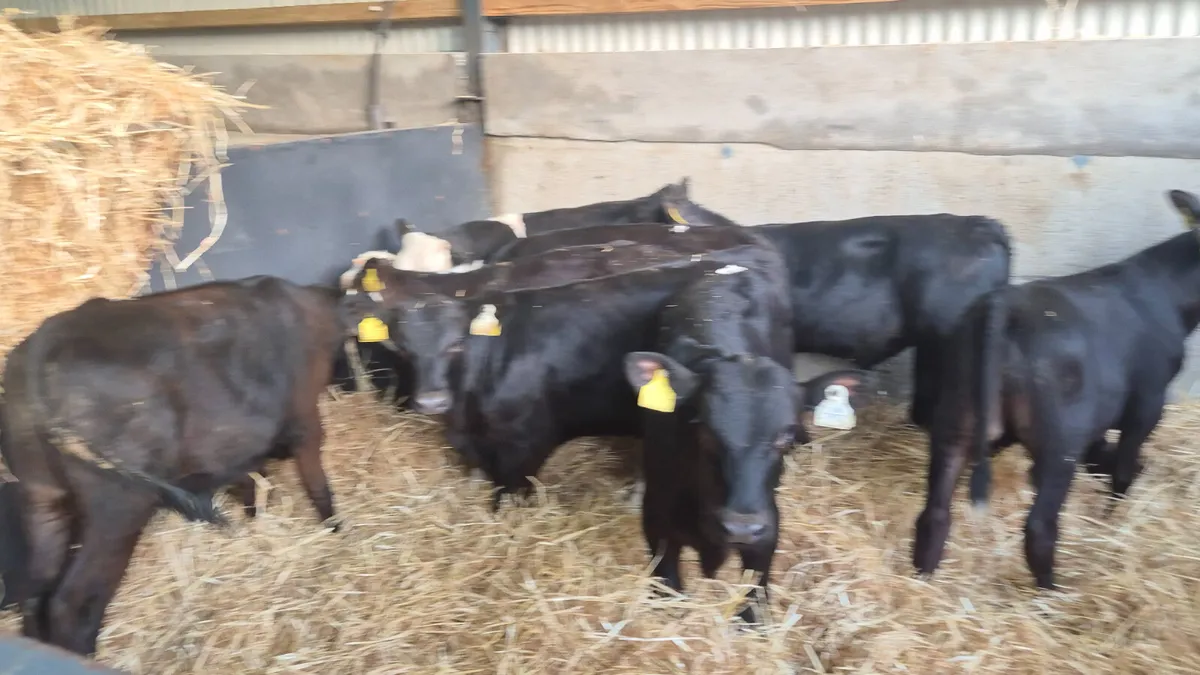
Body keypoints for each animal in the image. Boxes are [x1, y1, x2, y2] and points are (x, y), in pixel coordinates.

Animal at [0, 276, 366, 656]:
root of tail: (41, 345)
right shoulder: (305, 420)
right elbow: (318, 485)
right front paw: (335, 530)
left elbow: (251, 481)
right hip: (118, 504)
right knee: (72, 599)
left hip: (42, 494)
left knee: (36, 592)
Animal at [624, 264, 870, 624]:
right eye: (705, 428)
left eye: (784, 434)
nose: (741, 528)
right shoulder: (656, 521)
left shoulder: (768, 528)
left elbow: (756, 600)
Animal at [912, 190, 1200, 590]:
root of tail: (1004, 304)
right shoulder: (1147, 402)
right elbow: (1124, 467)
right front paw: (1113, 517)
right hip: (1059, 439)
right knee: (1039, 525)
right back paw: (1052, 591)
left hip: (955, 420)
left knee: (935, 512)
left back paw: (923, 577)